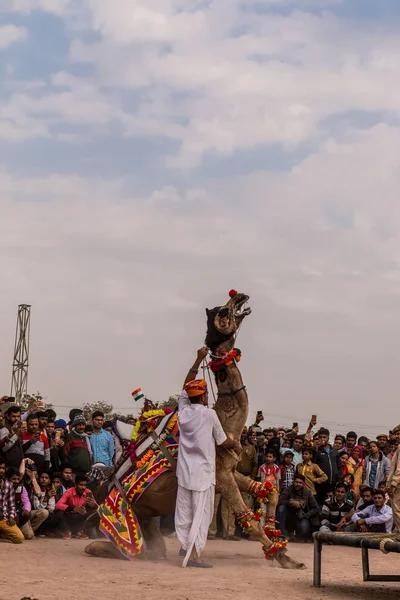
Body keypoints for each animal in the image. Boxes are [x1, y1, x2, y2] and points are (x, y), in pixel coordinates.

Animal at [85, 292, 304, 568]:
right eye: (222, 311)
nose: (241, 296)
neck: (225, 422)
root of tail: (102, 490)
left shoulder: (229, 471)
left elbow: (270, 490)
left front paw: (281, 544)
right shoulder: (221, 476)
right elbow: (248, 519)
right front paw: (282, 557)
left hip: (145, 516)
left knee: (155, 549)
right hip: (127, 516)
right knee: (133, 549)